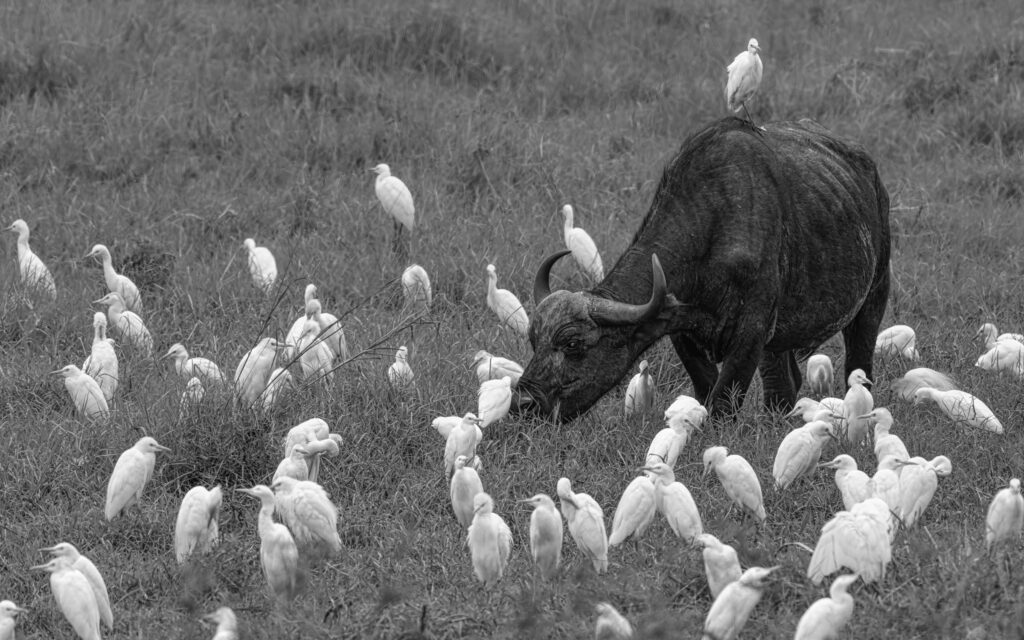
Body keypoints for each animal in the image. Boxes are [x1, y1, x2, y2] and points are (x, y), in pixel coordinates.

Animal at [516, 117, 891, 421]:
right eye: (534, 340)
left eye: (572, 343)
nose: (523, 403)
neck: (710, 229)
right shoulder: (684, 332)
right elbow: (707, 390)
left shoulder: (751, 335)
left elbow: (724, 404)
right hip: (781, 339)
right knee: (783, 385)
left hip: (873, 299)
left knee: (857, 365)